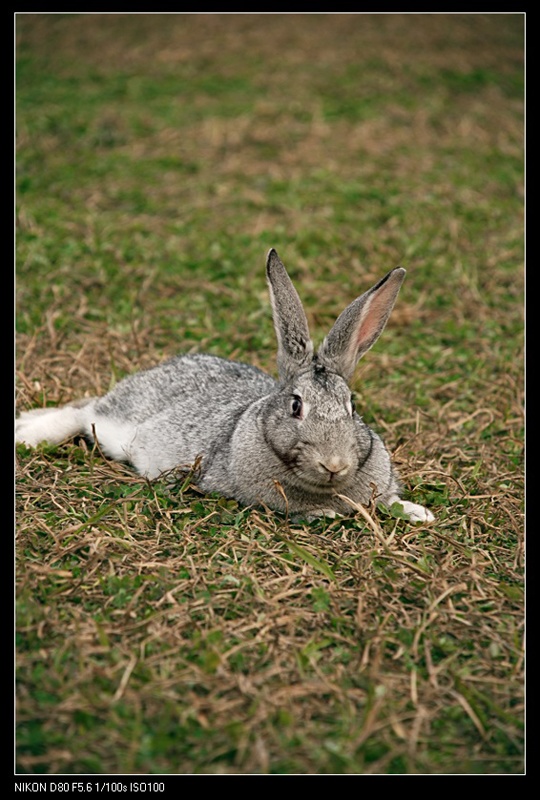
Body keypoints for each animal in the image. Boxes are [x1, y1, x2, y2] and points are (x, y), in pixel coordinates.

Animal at [14, 250, 434, 524]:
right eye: (296, 406)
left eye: (352, 406)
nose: (334, 464)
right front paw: (325, 512)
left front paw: (420, 513)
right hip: (116, 423)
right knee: (82, 412)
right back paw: (28, 435)